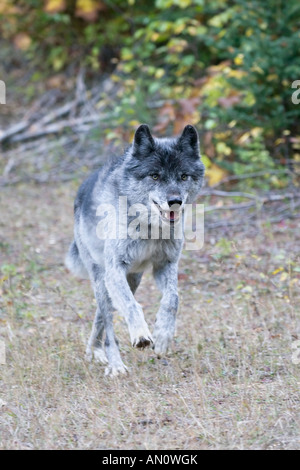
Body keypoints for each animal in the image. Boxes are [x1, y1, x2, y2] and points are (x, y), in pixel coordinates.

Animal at [65, 123, 205, 376]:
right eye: (155, 175)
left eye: (183, 176)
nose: (175, 201)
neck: (149, 227)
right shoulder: (115, 271)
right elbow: (132, 306)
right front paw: (141, 334)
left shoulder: (165, 266)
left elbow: (173, 299)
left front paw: (163, 336)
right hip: (103, 280)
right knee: (108, 325)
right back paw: (115, 364)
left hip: (132, 280)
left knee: (101, 317)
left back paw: (93, 352)